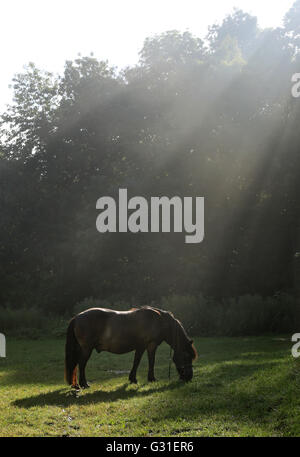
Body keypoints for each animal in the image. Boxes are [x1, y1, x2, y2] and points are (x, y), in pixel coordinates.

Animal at [64, 304, 198, 386]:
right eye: (187, 356)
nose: (189, 377)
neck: (160, 321)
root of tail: (77, 317)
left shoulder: (141, 347)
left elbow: (137, 362)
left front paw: (133, 379)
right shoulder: (150, 345)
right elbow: (149, 361)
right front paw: (151, 379)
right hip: (86, 349)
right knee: (82, 364)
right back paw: (84, 384)